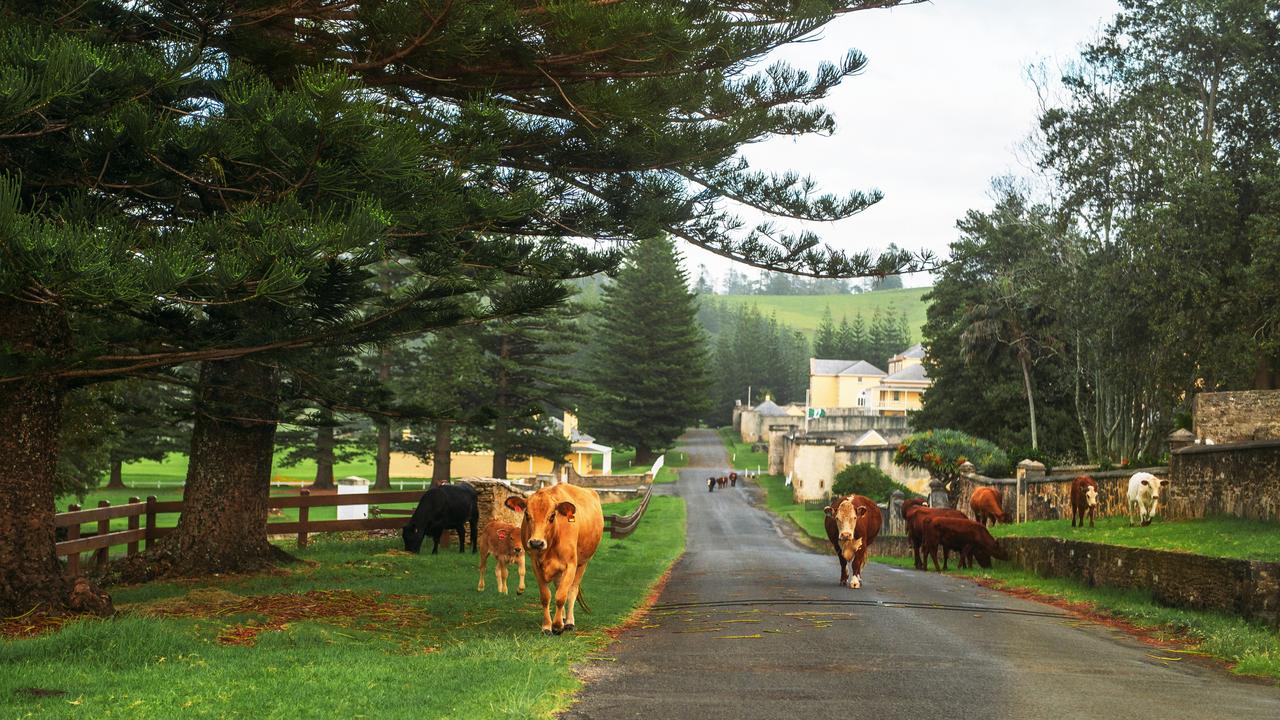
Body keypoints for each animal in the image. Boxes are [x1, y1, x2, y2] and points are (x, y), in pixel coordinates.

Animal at [501, 481, 601, 632]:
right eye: (527, 514)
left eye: (552, 516)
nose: (536, 543)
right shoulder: (536, 565)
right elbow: (546, 596)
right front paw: (547, 626)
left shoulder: (571, 565)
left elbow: (561, 596)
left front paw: (558, 626)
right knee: (559, 586)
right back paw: (563, 617)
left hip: (583, 563)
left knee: (572, 590)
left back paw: (569, 621)